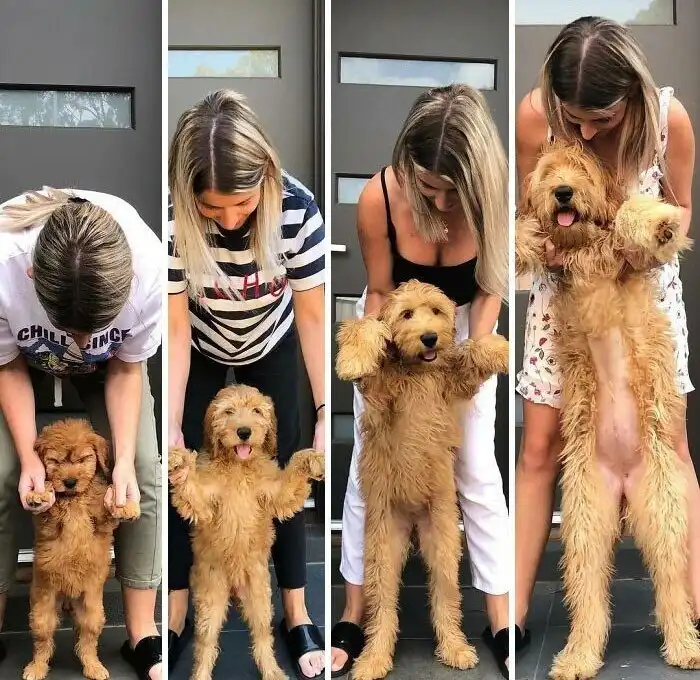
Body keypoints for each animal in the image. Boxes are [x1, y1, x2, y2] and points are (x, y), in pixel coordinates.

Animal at [22, 419, 140, 680]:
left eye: (84, 458)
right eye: (55, 461)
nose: (69, 482)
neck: (74, 498)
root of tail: (68, 598)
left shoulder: (103, 524)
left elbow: (108, 506)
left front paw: (126, 506)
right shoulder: (46, 524)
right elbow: (48, 500)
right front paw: (38, 492)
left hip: (92, 612)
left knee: (87, 641)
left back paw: (94, 666)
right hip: (42, 610)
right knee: (43, 642)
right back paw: (36, 667)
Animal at [168, 384, 325, 680]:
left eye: (256, 411)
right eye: (228, 412)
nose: (243, 432)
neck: (239, 467)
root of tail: (234, 585)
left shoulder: (275, 492)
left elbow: (290, 485)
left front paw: (311, 458)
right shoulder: (204, 500)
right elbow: (192, 490)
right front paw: (179, 461)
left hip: (260, 597)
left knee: (262, 636)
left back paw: (273, 672)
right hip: (210, 600)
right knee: (206, 643)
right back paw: (201, 674)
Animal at [335, 280, 509, 680]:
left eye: (437, 311)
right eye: (407, 314)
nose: (429, 338)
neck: (417, 372)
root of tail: (413, 517)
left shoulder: (454, 383)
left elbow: (470, 356)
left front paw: (498, 348)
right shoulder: (378, 394)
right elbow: (364, 330)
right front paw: (353, 358)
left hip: (443, 540)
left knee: (446, 597)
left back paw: (455, 647)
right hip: (382, 548)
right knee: (382, 605)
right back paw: (373, 658)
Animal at [516, 139, 700, 678]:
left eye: (580, 169)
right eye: (549, 171)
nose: (562, 191)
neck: (581, 243)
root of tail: (621, 485)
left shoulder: (621, 252)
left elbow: (629, 216)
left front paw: (660, 225)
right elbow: (526, 230)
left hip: (663, 513)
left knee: (672, 586)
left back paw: (685, 646)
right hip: (584, 524)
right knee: (589, 598)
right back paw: (577, 656)